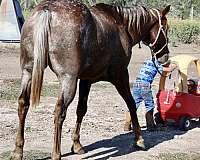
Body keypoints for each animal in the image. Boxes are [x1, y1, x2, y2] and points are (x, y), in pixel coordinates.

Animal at [10, 0, 170, 159]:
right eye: (166, 29)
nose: (165, 57)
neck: (121, 23)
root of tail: (47, 9)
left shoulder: (86, 80)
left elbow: (81, 109)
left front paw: (77, 145)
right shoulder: (120, 76)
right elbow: (131, 103)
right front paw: (139, 140)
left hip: (28, 72)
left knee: (23, 104)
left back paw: (18, 150)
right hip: (68, 81)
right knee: (59, 111)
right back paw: (56, 153)